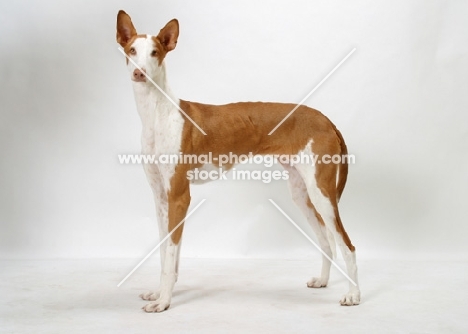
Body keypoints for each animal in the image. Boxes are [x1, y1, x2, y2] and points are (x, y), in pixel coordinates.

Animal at [115, 11, 360, 314]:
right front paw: (160, 293)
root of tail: (325, 119)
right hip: (302, 193)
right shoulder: (161, 196)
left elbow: (170, 253)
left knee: (347, 245)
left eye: (155, 53)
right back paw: (323, 281)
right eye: (131, 51)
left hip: (322, 193)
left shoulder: (179, 196)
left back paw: (354, 295)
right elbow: (165, 253)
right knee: (327, 241)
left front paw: (164, 302)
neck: (158, 114)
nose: (139, 73)